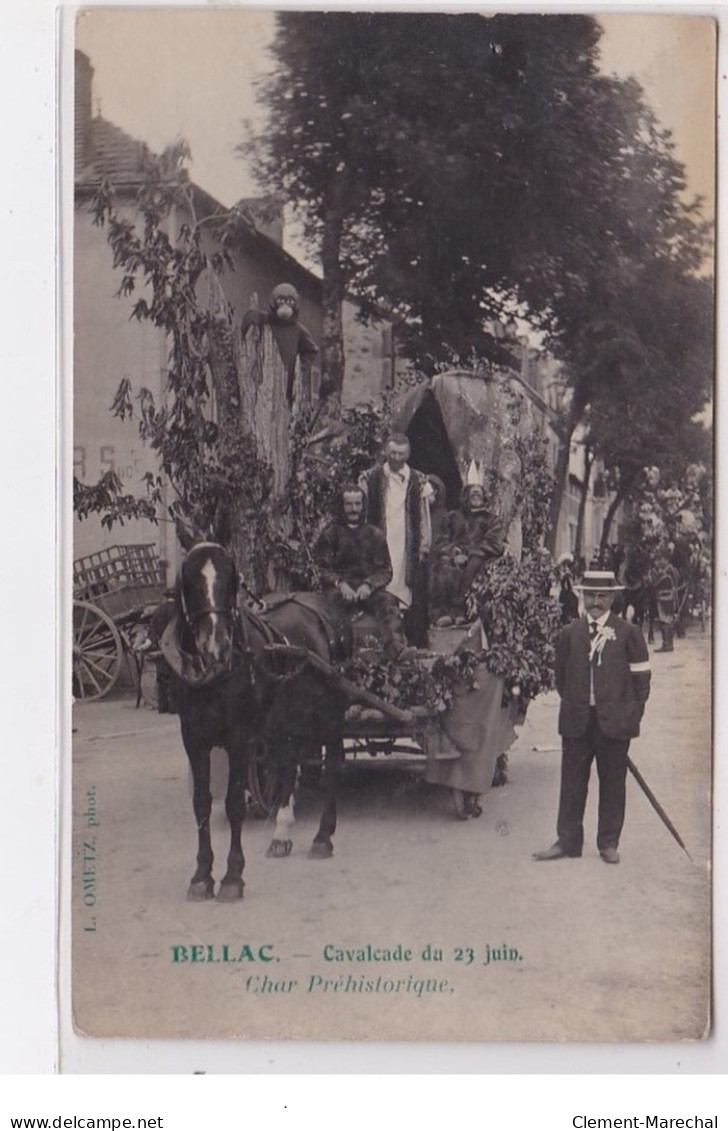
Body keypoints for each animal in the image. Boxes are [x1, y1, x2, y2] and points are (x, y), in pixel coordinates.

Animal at [160, 538, 352, 900]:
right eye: (189, 579)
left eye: (231, 577)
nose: (216, 647)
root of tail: (322, 604)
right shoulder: (192, 737)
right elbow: (201, 804)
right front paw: (201, 875)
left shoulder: (240, 737)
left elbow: (234, 802)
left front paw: (233, 877)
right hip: (284, 720)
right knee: (289, 762)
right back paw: (281, 834)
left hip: (330, 714)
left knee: (334, 762)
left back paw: (323, 836)